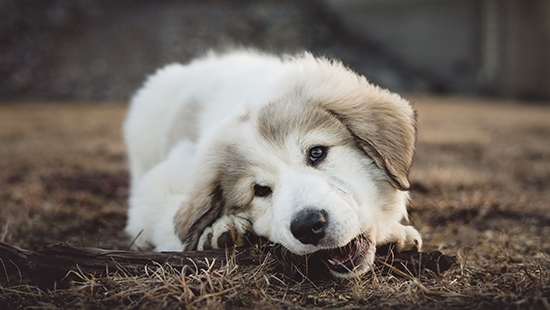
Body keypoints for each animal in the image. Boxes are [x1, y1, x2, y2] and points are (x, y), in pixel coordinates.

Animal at [124, 49, 422, 278]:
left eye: (317, 153)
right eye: (260, 190)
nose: (308, 226)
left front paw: (396, 234)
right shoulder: (161, 181)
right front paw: (218, 230)